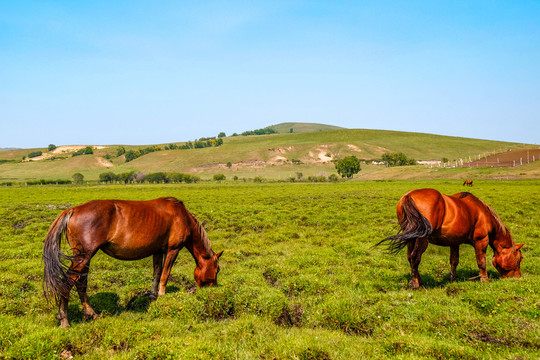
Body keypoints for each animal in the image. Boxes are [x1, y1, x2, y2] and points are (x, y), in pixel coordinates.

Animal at [42, 198, 224, 328]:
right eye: (217, 270)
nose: (213, 289)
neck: (182, 215)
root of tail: (72, 210)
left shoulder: (157, 251)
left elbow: (157, 273)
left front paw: (152, 297)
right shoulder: (173, 249)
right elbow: (165, 274)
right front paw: (162, 296)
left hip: (84, 259)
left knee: (81, 284)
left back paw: (91, 314)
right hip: (83, 257)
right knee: (67, 283)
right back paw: (64, 320)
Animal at [380, 190, 524, 288]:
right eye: (519, 259)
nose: (518, 278)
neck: (483, 214)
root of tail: (409, 196)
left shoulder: (454, 243)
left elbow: (454, 261)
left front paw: (452, 279)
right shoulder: (481, 241)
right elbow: (481, 262)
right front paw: (485, 280)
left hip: (411, 238)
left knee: (410, 257)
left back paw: (418, 280)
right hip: (421, 239)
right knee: (415, 257)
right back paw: (415, 284)